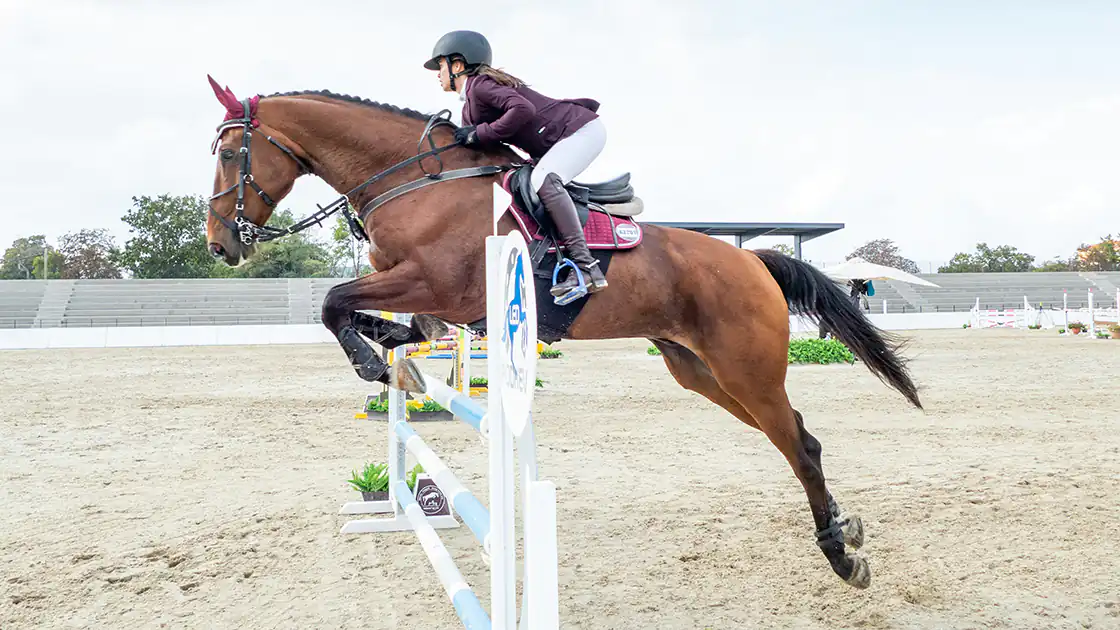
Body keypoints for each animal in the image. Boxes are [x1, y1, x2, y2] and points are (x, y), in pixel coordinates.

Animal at [203, 76, 922, 591]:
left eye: (233, 153)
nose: (220, 245)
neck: (414, 180)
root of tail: (752, 259)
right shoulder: (421, 291)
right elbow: (372, 315)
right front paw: (390, 350)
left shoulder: (439, 285)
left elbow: (334, 303)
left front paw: (375, 362)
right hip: (702, 373)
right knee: (799, 436)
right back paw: (847, 529)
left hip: (746, 370)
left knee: (800, 447)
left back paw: (841, 558)